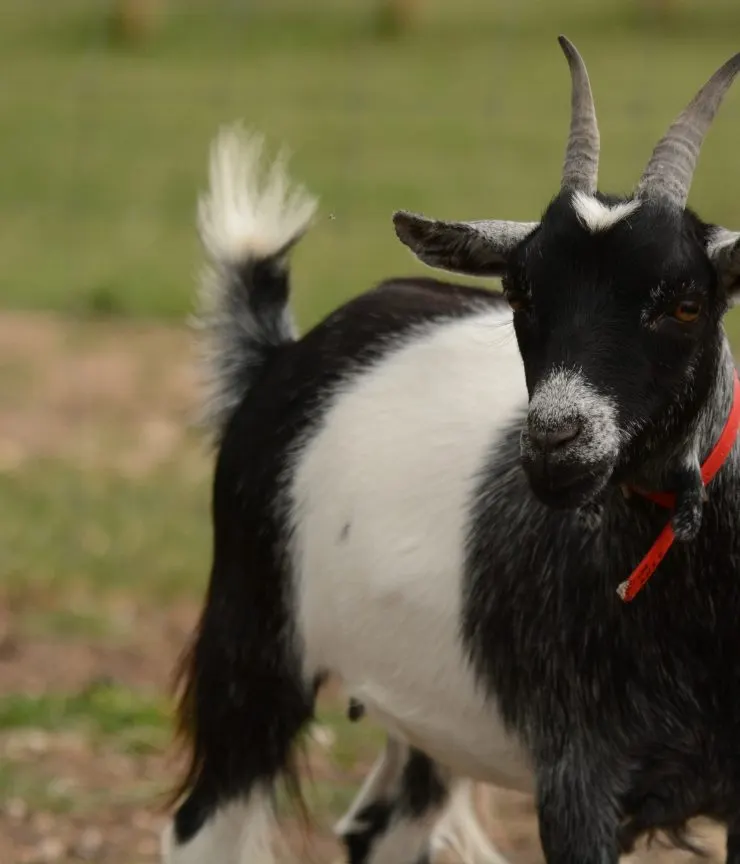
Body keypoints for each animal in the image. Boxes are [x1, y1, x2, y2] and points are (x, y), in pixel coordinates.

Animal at [161, 36, 740, 864]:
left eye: (687, 302)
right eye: (520, 292)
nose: (555, 439)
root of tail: (282, 355)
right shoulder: (577, 776)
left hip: (425, 712)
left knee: (376, 829)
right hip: (253, 640)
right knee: (201, 824)